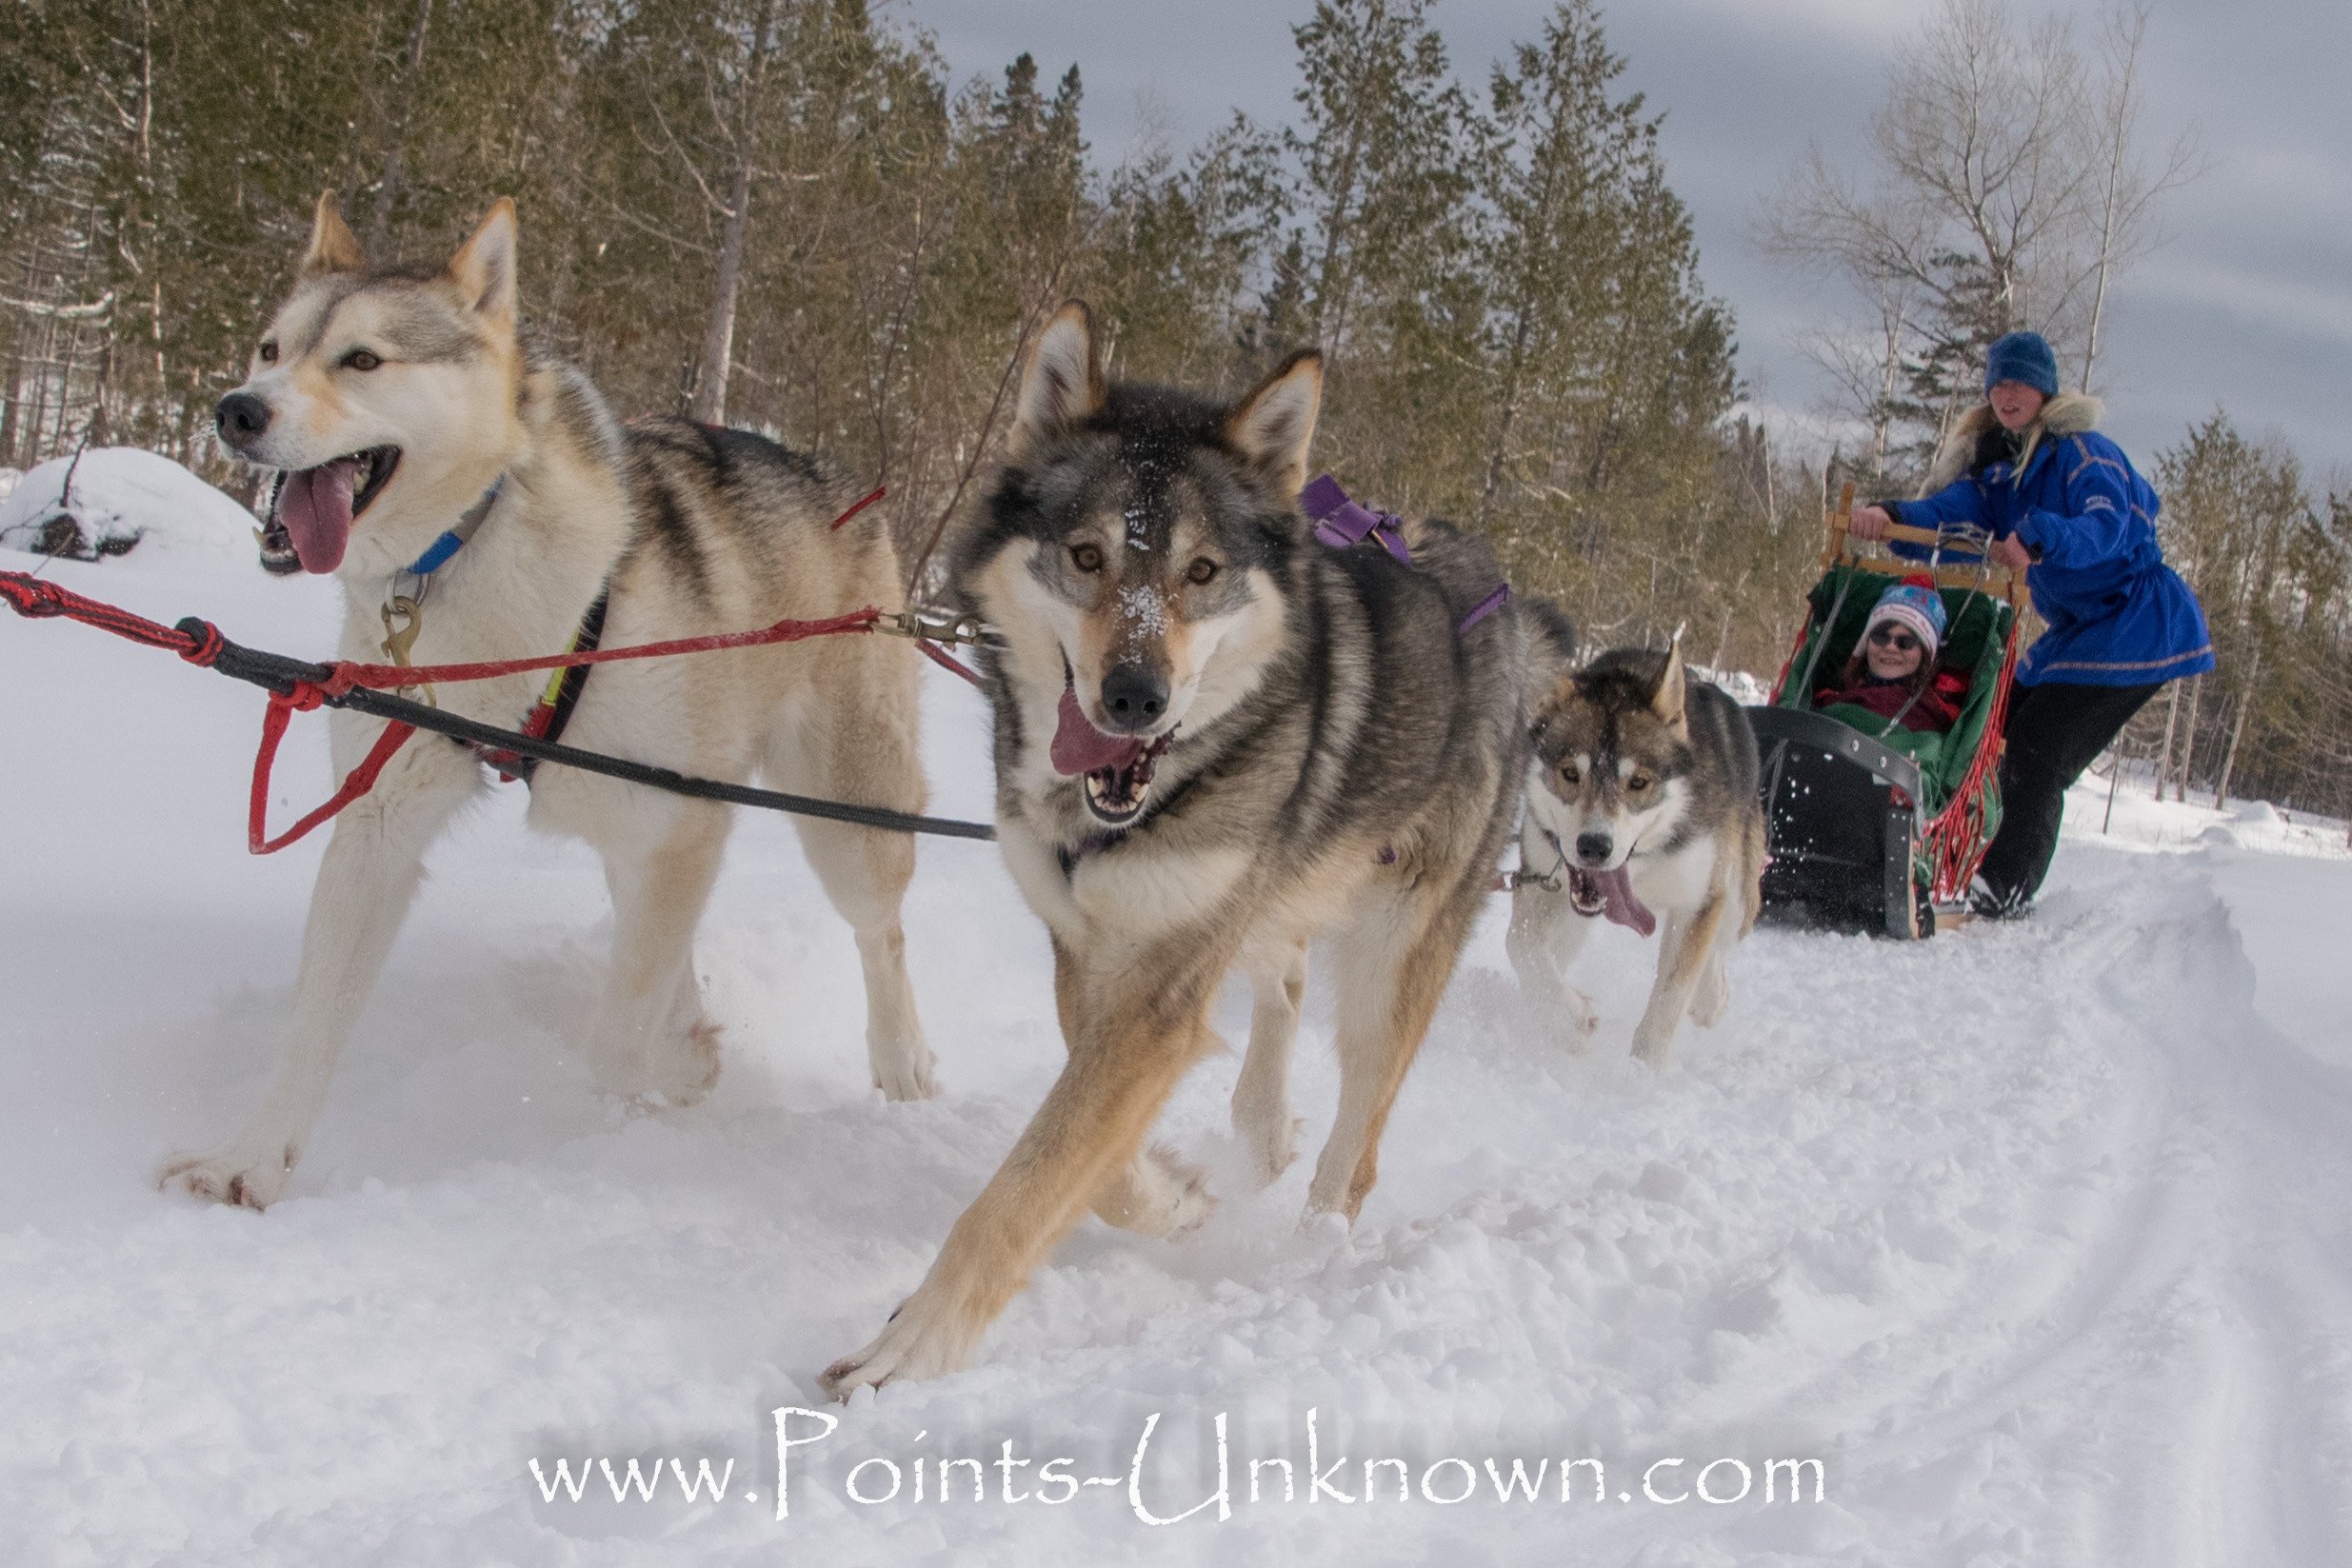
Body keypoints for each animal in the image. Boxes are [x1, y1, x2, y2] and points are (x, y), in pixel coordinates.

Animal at [166, 190, 931, 1213]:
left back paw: (901, 1060)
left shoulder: (680, 818)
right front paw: (247, 1160)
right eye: (269, 349)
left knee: (878, 931)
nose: (237, 409)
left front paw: (620, 1118)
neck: (472, 550)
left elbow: (616, 1042)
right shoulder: (379, 821)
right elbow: (312, 1021)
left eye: (363, 359)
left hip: (839, 817)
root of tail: (842, 485)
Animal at [818, 306, 1552, 1400]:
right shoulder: (1091, 954)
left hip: (1394, 955)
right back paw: (1261, 1127)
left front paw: (913, 1348)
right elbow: (1090, 1150)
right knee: (1283, 980)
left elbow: (1030, 1182)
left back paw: (1316, 1241)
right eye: (1086, 556)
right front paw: (1170, 1197)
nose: (1136, 697)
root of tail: (1500, 597)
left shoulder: (1160, 989)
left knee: (1360, 1128)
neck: (1124, 809)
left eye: (1200, 574)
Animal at [1505, 639, 1768, 1067]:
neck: (1643, 866)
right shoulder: (1543, 882)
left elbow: (1669, 1000)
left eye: (1639, 783)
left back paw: (1710, 999)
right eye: (1570, 773)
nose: (1594, 846)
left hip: (1738, 897)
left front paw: (1641, 1074)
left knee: (1720, 939)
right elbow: (1521, 946)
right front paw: (1566, 1019)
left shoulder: (1697, 900)